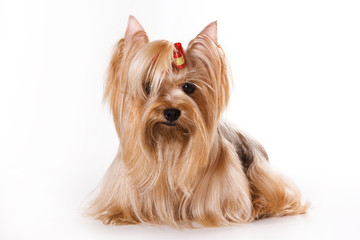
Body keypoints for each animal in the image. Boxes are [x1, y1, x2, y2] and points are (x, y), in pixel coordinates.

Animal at [85, 15, 310, 227]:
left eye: (189, 87)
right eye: (148, 86)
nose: (171, 112)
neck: (170, 142)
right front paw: (117, 215)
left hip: (261, 171)